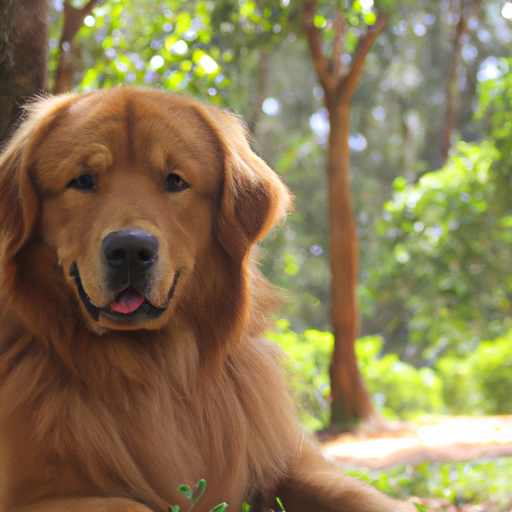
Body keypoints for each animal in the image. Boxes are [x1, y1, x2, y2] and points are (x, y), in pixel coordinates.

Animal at [0, 88, 410, 512]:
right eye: (83, 180)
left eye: (174, 181)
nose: (130, 249)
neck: (158, 371)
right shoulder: (34, 495)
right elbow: (132, 504)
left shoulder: (288, 461)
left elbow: (365, 497)